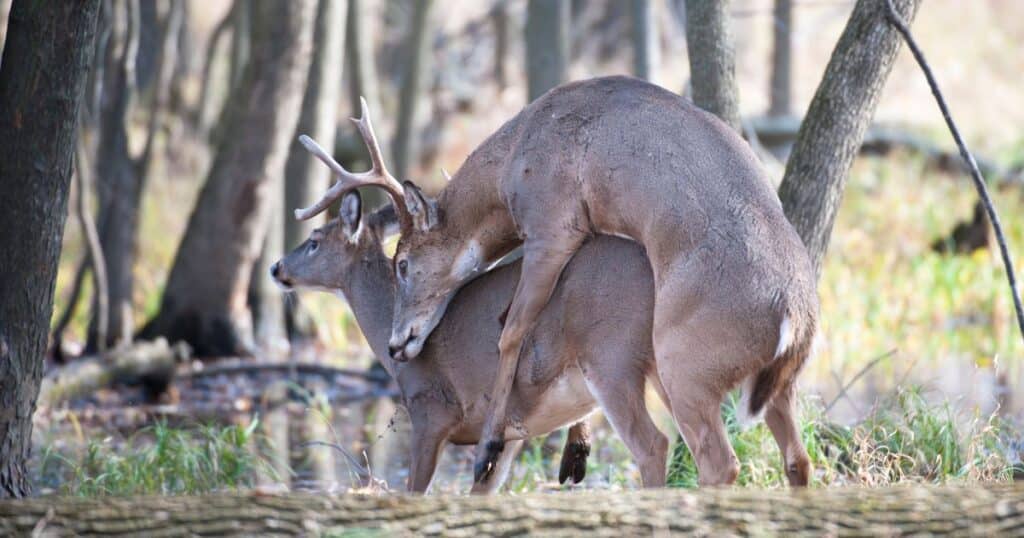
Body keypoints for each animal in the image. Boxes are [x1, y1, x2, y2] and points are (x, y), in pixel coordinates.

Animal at [268, 194, 663, 493]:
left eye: (314, 241)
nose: (276, 268)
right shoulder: (511, 435)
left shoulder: (431, 410)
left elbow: (416, 494)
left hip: (611, 357)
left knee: (653, 446)